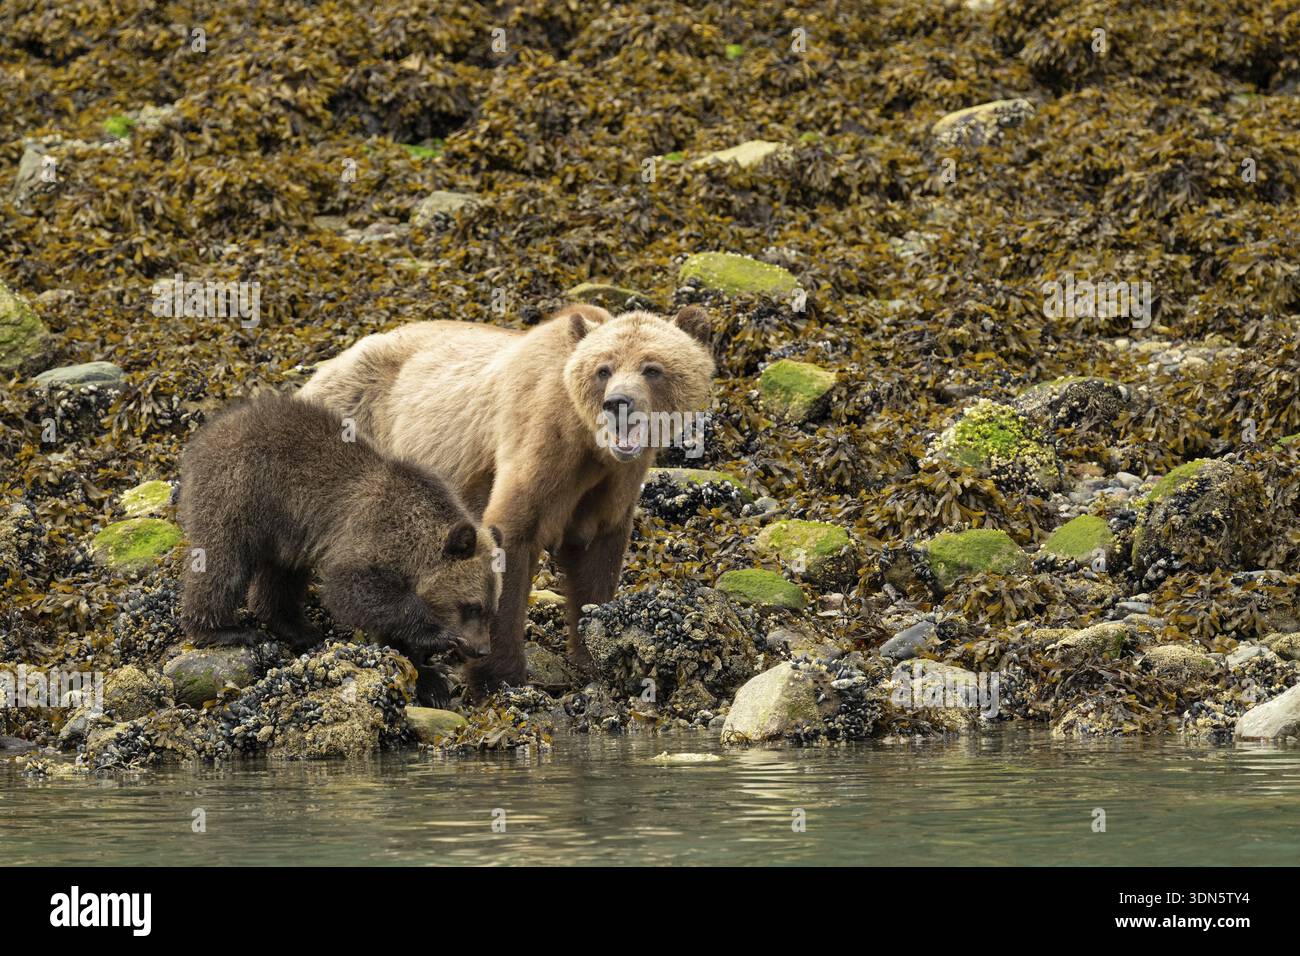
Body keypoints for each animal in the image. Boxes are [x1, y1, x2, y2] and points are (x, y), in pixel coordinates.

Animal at [177, 393, 502, 706]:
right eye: (471, 606)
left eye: (492, 608)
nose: (482, 649)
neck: (412, 541)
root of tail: (207, 433)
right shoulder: (370, 534)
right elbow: (350, 590)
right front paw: (435, 643)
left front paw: (428, 677)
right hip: (238, 489)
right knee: (222, 560)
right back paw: (223, 630)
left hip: (284, 528)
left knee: (280, 576)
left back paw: (298, 628)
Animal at [299, 303, 715, 697]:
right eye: (603, 368)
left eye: (652, 368)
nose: (618, 402)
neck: (589, 445)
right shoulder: (540, 444)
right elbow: (510, 537)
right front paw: (499, 675)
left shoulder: (613, 484)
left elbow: (596, 560)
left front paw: (593, 656)